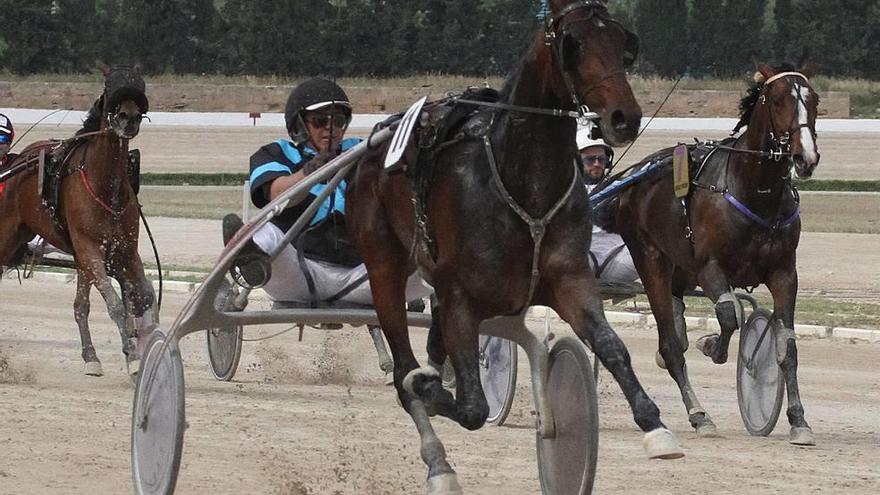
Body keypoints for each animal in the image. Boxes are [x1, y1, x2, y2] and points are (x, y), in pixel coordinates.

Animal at [0, 65, 155, 376]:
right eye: (110, 86)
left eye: (140, 85)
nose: (129, 118)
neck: (106, 188)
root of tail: (17, 161)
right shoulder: (89, 248)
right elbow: (115, 303)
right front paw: (131, 352)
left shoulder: (124, 251)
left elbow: (141, 296)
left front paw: (137, 350)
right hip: (8, 235)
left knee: (80, 305)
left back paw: (90, 355)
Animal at [348, 0, 684, 492]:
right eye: (573, 44)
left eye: (624, 42)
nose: (624, 117)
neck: (522, 182)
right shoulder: (459, 296)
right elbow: (470, 406)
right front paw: (429, 387)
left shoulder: (570, 278)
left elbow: (611, 346)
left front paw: (656, 427)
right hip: (384, 264)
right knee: (403, 362)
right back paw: (438, 459)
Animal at [600, 62, 820, 446]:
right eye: (778, 99)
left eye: (815, 99)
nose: (804, 157)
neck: (755, 191)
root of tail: (634, 180)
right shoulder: (710, 268)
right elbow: (729, 316)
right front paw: (712, 345)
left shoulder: (783, 273)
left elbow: (786, 346)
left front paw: (798, 420)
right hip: (650, 258)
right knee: (671, 347)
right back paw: (698, 413)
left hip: (679, 266)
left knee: (675, 317)